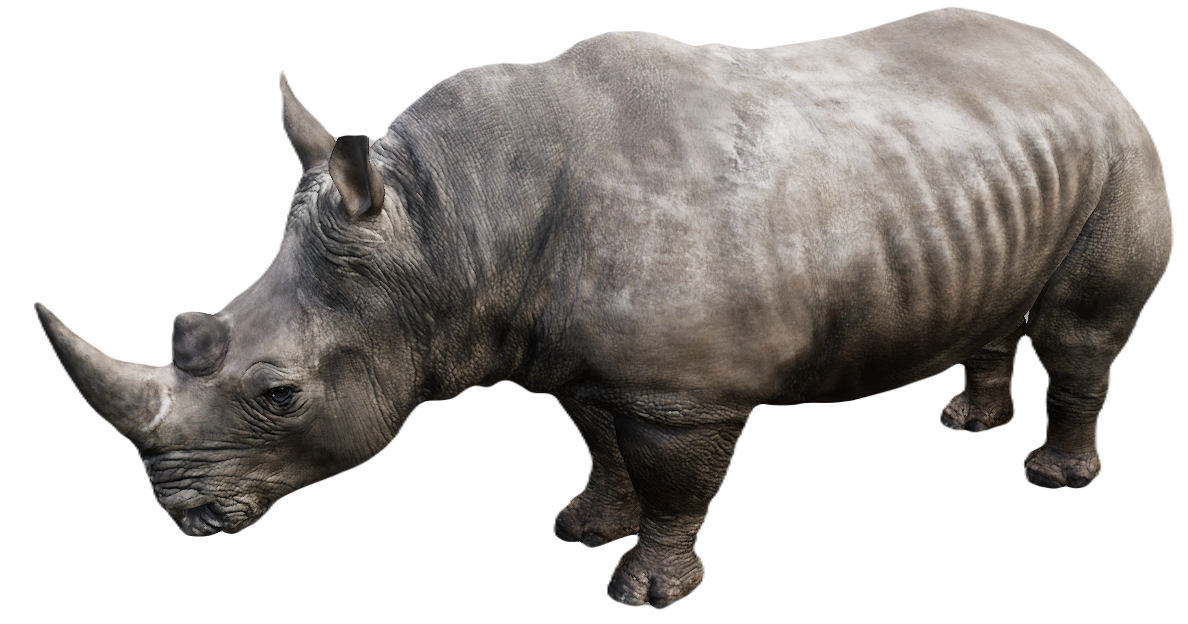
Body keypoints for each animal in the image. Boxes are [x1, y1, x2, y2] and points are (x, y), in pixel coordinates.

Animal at [36, 7, 1170, 609]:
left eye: (279, 393)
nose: (186, 519)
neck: (449, 221)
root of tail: (1080, 57)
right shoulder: (571, 354)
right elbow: (597, 444)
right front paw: (583, 528)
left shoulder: (686, 391)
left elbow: (672, 478)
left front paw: (647, 587)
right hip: (1000, 154)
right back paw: (965, 423)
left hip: (1121, 152)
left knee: (1079, 330)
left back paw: (1053, 477)